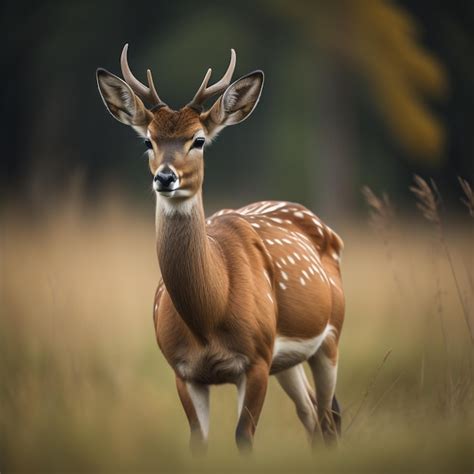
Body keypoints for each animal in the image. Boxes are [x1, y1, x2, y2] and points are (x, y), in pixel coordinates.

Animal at [96, 45, 344, 456]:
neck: (209, 315)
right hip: (287, 361)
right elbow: (197, 442)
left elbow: (243, 437)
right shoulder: (183, 370)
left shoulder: (256, 358)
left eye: (198, 140)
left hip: (330, 335)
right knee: (311, 414)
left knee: (328, 419)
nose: (165, 177)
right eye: (148, 140)